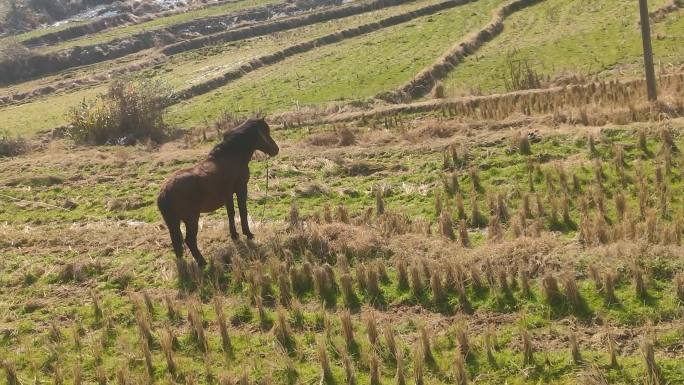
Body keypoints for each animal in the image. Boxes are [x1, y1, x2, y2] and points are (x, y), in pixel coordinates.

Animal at [157, 117, 278, 266]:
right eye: (265, 132)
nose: (275, 149)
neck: (232, 156)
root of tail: (164, 191)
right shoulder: (241, 189)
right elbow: (243, 211)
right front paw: (248, 233)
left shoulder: (228, 195)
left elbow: (231, 214)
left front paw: (234, 235)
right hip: (191, 219)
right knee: (190, 240)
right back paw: (202, 262)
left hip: (174, 223)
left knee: (177, 245)